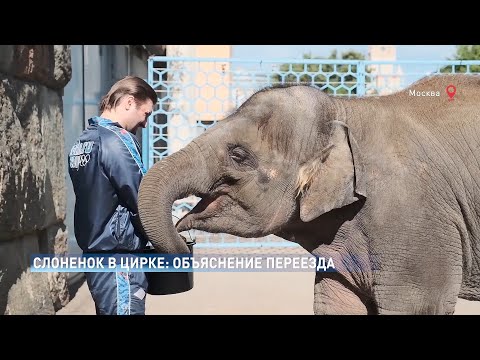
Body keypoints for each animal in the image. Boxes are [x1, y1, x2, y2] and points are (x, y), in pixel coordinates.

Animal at [137, 74, 480, 316]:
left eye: (238, 155)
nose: (184, 241)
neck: (344, 110)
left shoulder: (418, 227)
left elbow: (419, 305)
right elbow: (335, 302)